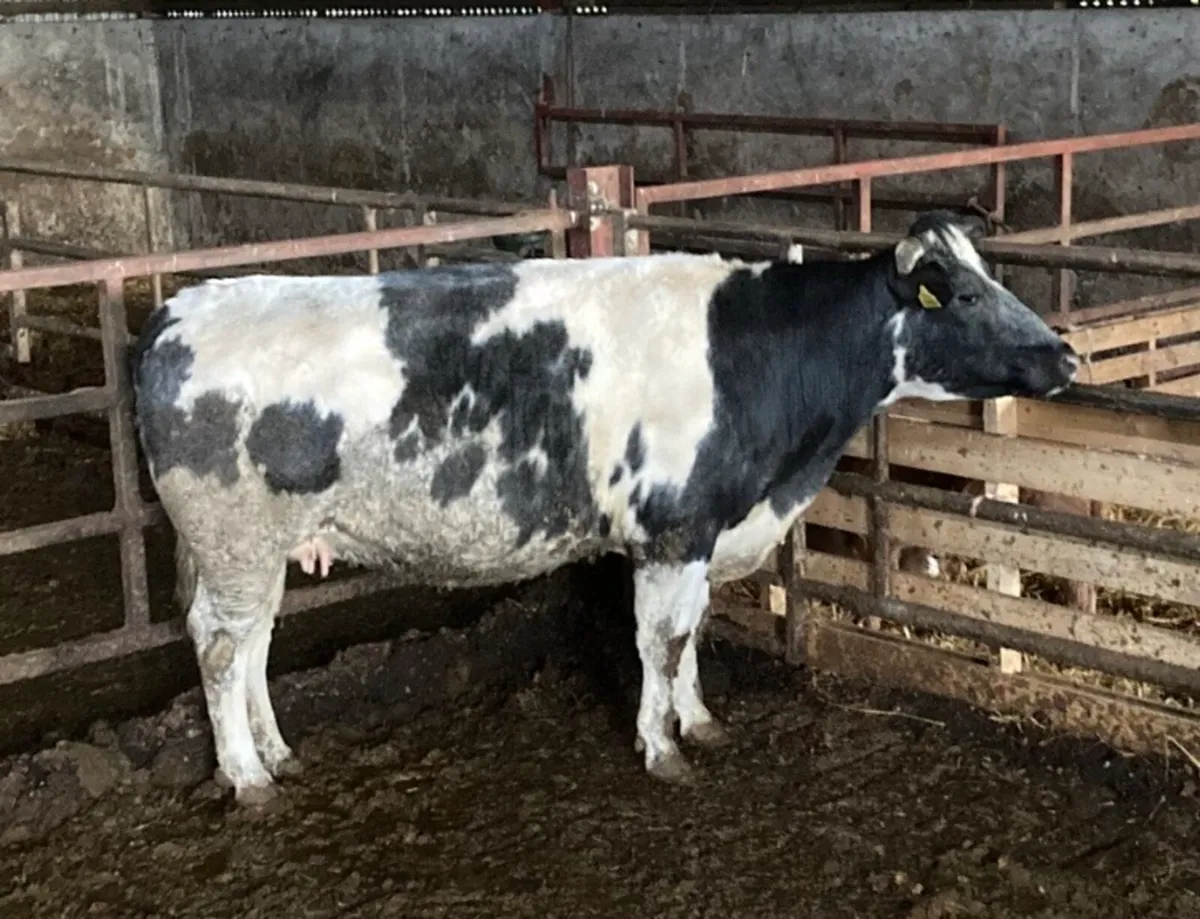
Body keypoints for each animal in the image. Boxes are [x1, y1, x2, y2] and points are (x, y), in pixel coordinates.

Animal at [131, 211, 1079, 806]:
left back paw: (278, 753)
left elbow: (692, 633)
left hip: (260, 550)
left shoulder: (704, 532)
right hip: (233, 539)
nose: (1066, 354)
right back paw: (247, 778)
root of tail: (179, 307)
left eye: (995, 278)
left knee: (254, 641)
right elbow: (661, 640)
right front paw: (661, 747)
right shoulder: (675, 529)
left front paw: (700, 722)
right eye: (963, 294)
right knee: (219, 646)